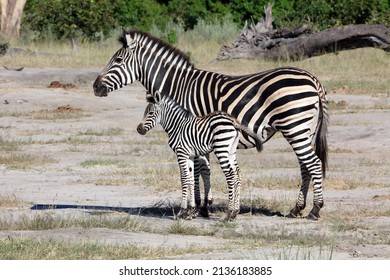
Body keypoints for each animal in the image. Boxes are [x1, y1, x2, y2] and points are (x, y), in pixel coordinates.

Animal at [137, 92, 262, 221]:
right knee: (237, 174)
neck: (177, 127)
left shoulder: (181, 153)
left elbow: (184, 179)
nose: (139, 129)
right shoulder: (190, 155)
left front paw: (182, 212)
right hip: (230, 151)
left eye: (151, 113)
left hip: (221, 149)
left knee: (231, 175)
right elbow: (191, 179)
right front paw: (191, 211)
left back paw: (228, 213)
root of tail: (233, 121)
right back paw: (235, 212)